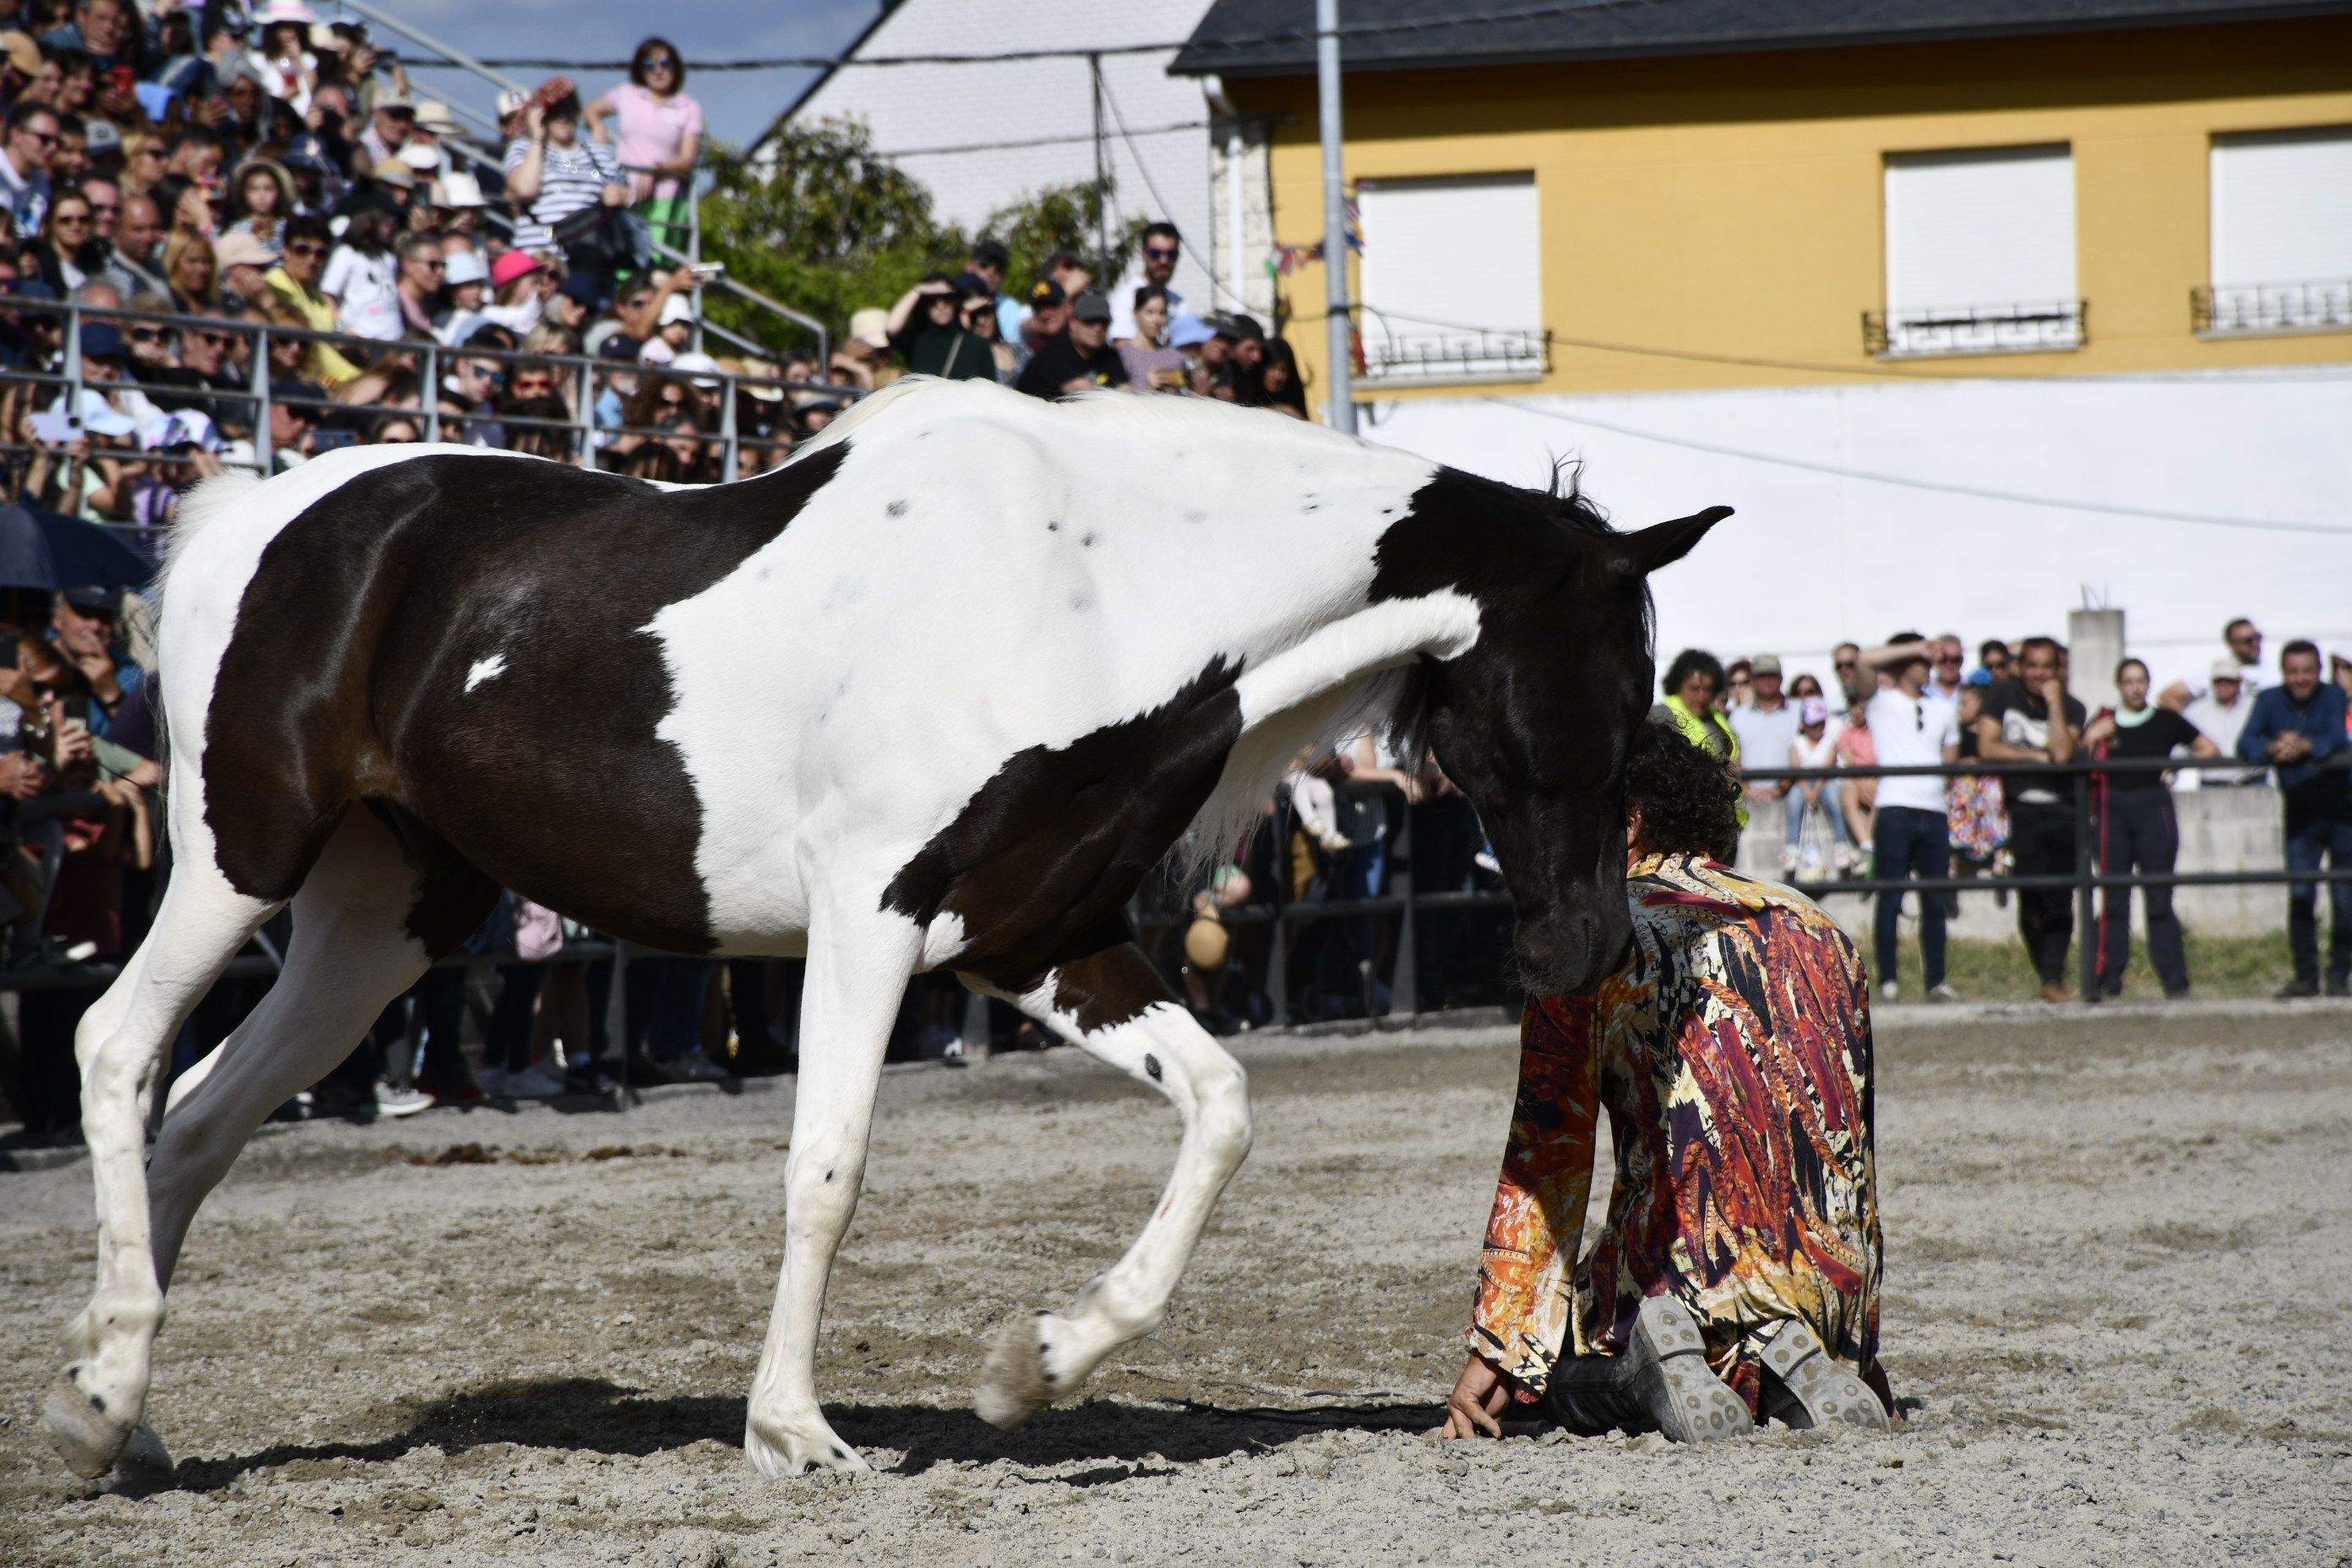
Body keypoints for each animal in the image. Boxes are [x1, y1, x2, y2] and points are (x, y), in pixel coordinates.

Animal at [41, 373, 1731, 1476]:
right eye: (1582, 694)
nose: (1582, 952)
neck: (1090, 589)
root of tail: (254, 516)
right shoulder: (870, 921)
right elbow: (829, 1170)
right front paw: (795, 1433)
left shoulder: (1035, 940)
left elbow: (1223, 1108)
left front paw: (1033, 1365)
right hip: (241, 853)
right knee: (117, 1050)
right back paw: (98, 1409)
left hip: (383, 914)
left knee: (204, 1115)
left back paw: (118, 1412)